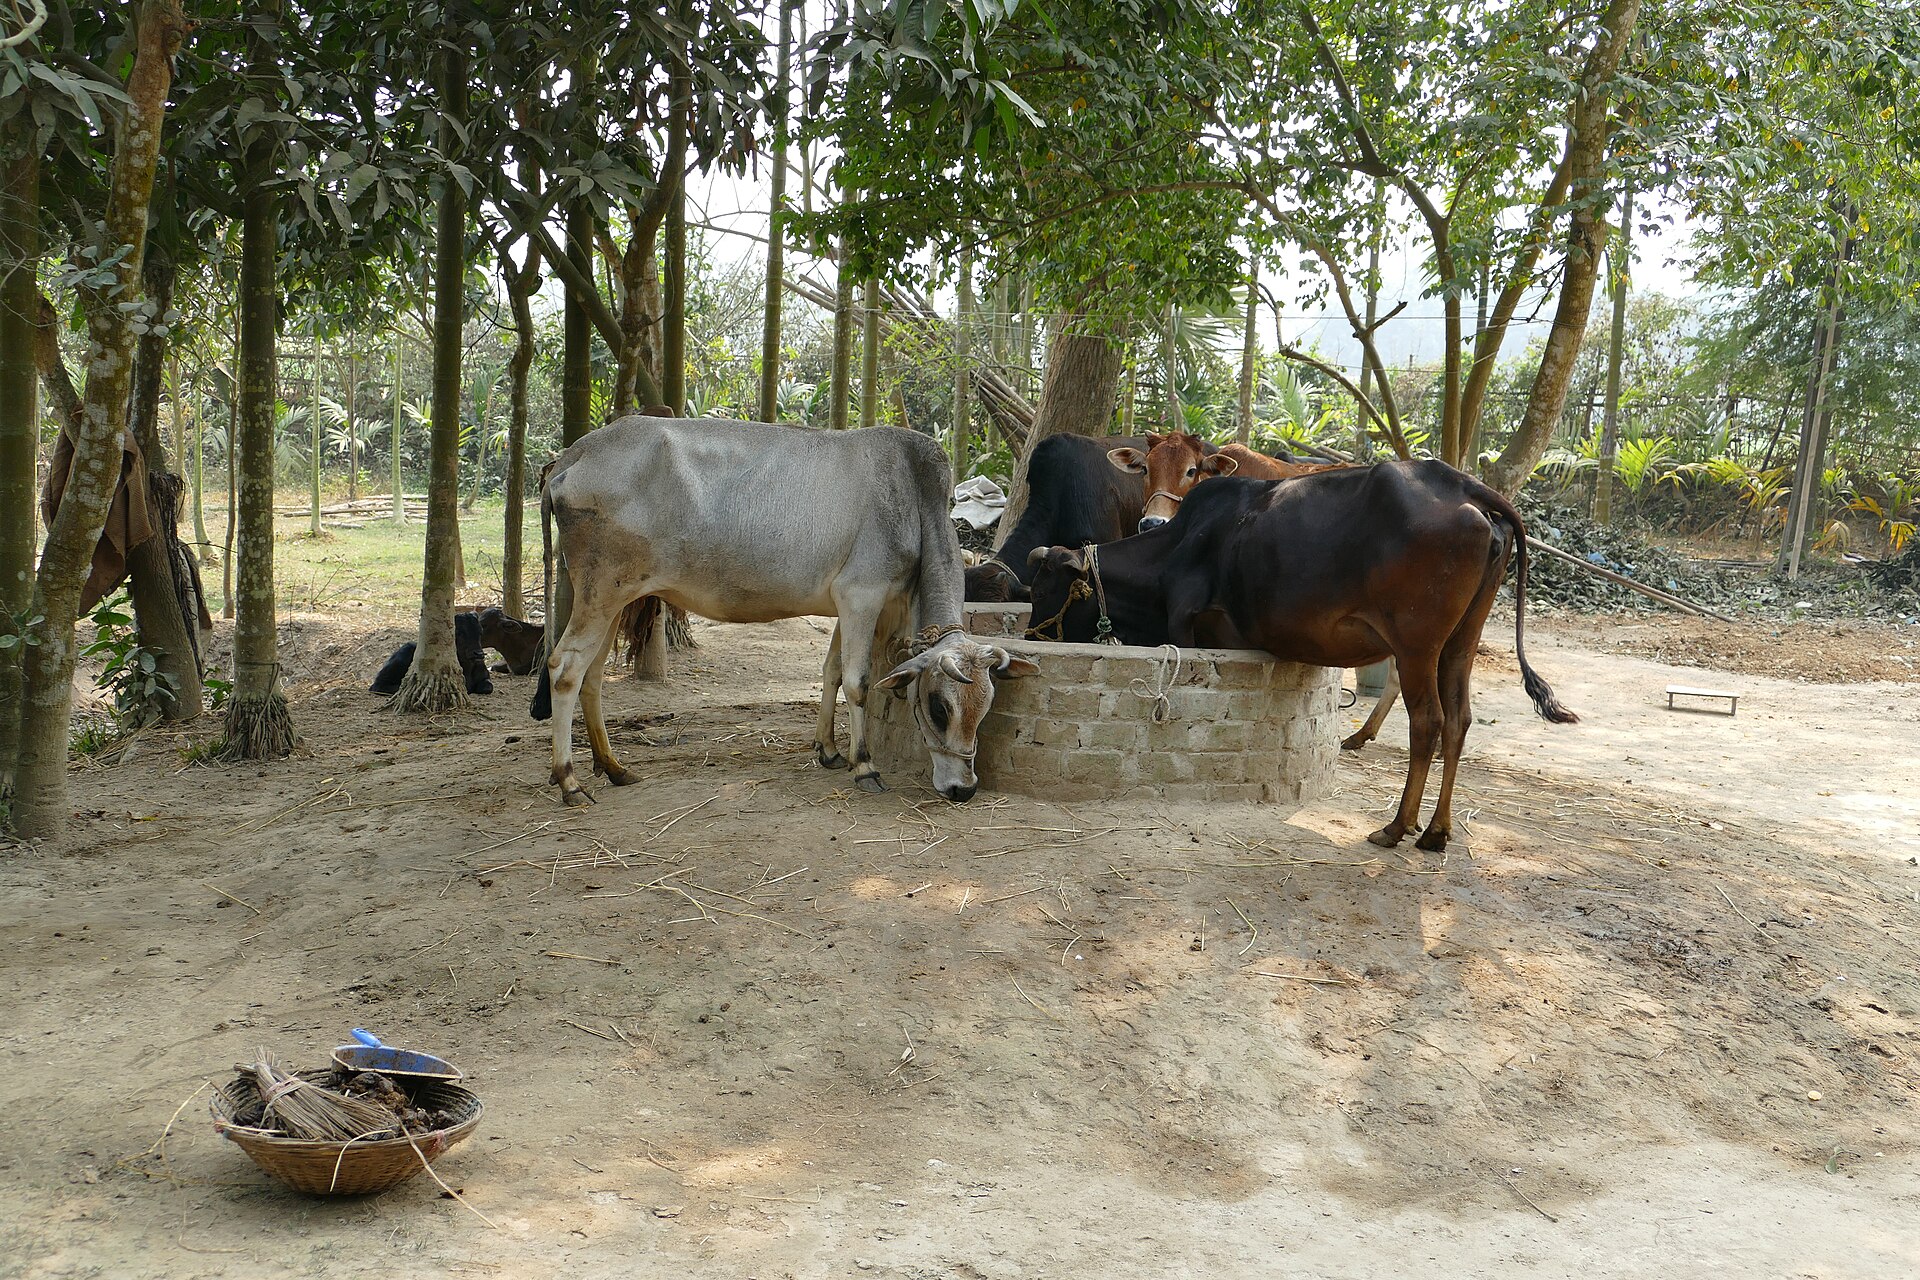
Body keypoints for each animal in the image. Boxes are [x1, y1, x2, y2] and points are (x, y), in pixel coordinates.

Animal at [531, 416, 1039, 807]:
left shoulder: (852, 604)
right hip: (600, 594)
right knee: (564, 668)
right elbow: (858, 683)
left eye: (985, 709)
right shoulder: (863, 595)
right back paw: (570, 780)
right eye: (939, 707)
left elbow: (832, 671)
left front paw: (828, 750)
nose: (963, 789)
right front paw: (864, 765)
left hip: (611, 599)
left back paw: (613, 766)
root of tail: (570, 456)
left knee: (593, 676)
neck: (913, 497)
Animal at [1024, 460, 1576, 852]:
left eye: (1045, 588)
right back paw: (1436, 832)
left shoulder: (1189, 623)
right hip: (1460, 643)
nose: (1031, 633)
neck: (1174, 547)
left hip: (1417, 644)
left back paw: (1397, 826)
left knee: (1429, 722)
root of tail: (1465, 487)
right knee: (1459, 719)